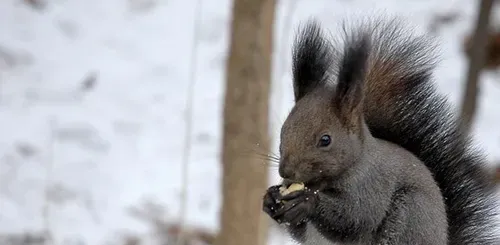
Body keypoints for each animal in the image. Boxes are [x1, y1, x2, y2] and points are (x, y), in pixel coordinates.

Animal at [262, 17, 500, 245]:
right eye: (283, 131)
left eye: (325, 140)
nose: (286, 171)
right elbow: (299, 230)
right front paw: (270, 199)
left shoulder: (373, 185)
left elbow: (354, 219)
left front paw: (306, 201)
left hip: (411, 213)